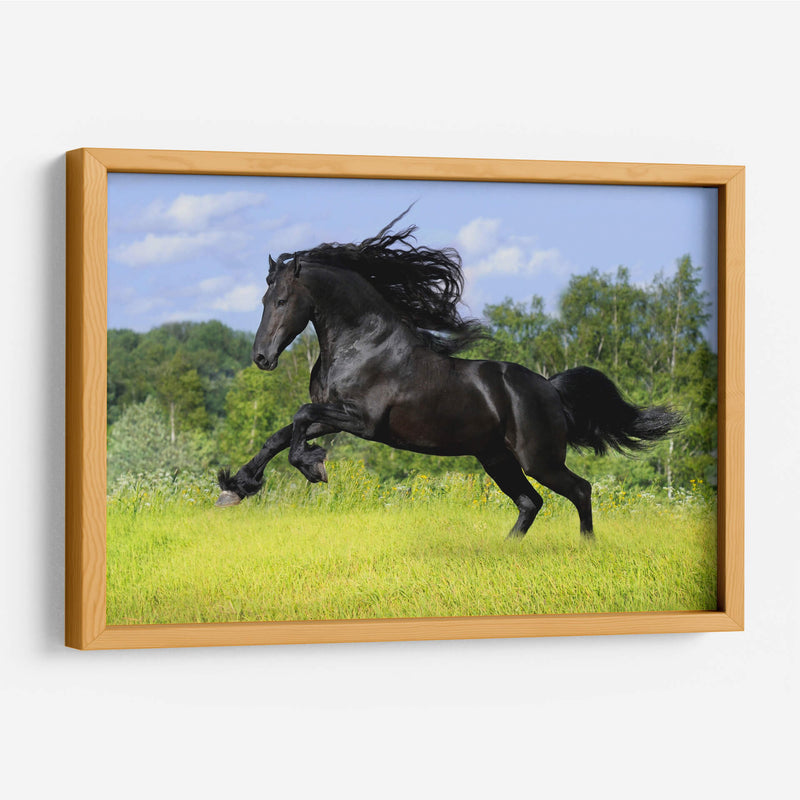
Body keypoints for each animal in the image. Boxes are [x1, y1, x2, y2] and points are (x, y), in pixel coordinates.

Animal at [216, 211, 679, 539]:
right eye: (262, 299)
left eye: (280, 300)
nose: (261, 357)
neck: (363, 346)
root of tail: (549, 388)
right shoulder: (334, 416)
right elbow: (280, 434)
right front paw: (235, 487)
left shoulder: (361, 421)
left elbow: (297, 416)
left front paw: (313, 468)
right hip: (496, 458)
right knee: (530, 503)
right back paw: (505, 550)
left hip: (539, 459)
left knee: (579, 490)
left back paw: (586, 547)